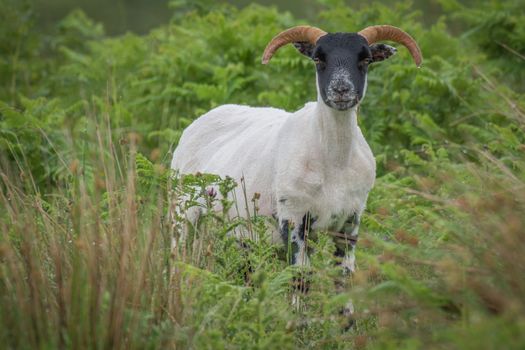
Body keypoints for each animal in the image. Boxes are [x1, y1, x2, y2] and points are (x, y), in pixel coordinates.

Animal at [172, 23, 422, 312]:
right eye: (318, 59)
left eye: (366, 59)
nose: (341, 90)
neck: (333, 163)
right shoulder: (293, 218)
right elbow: (301, 279)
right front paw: (298, 322)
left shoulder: (350, 221)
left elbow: (344, 277)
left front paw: (346, 322)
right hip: (182, 214)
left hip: (237, 234)